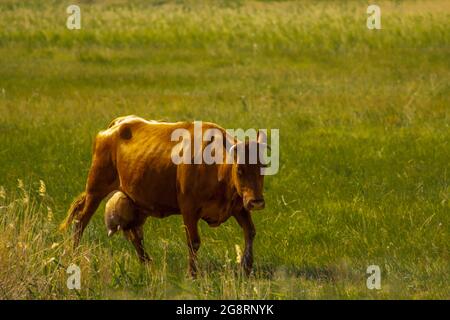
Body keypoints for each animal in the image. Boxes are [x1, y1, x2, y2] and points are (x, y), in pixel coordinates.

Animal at [61, 116, 268, 276]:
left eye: (263, 167)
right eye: (240, 169)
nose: (256, 202)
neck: (215, 167)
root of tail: (117, 123)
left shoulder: (239, 207)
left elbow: (250, 232)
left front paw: (247, 267)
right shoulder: (189, 209)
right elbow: (193, 242)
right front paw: (193, 274)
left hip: (138, 201)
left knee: (134, 234)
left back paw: (147, 263)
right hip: (95, 189)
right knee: (81, 221)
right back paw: (74, 254)